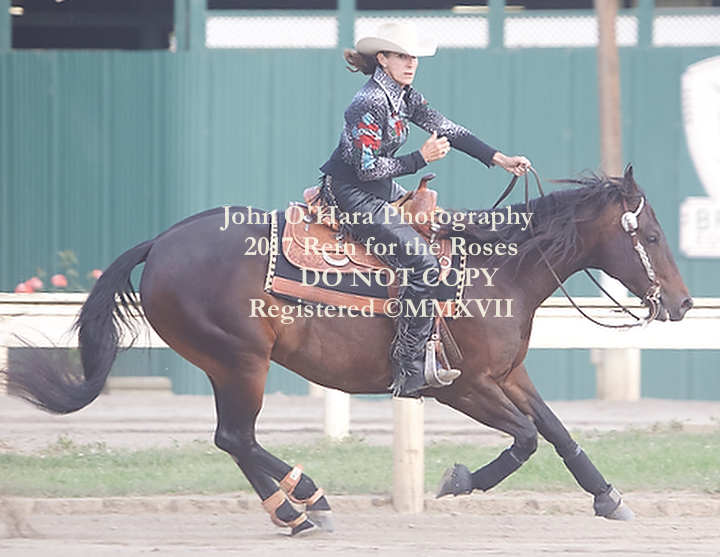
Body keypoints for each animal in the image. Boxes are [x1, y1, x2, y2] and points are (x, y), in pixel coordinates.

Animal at [3, 165, 692, 535]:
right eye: (653, 236)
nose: (684, 305)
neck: (494, 270)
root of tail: (162, 240)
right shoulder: (463, 386)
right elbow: (525, 439)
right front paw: (460, 480)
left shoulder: (510, 374)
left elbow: (557, 430)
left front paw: (608, 497)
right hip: (240, 363)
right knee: (236, 437)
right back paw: (309, 501)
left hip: (231, 366)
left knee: (235, 441)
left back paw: (295, 512)